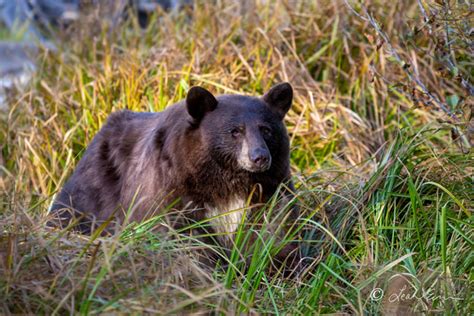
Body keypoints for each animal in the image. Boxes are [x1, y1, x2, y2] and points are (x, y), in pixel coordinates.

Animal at [51, 82, 296, 247]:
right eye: (235, 131)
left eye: (266, 130)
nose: (259, 157)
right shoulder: (170, 184)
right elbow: (174, 228)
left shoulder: (272, 187)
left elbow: (276, 229)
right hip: (93, 188)